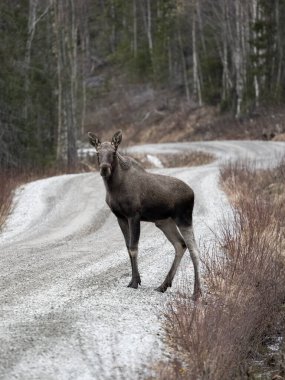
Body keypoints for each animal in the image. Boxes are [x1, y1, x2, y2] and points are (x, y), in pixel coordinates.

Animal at [87, 131, 201, 300]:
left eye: (113, 152)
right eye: (97, 153)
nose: (104, 169)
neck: (114, 187)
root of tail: (193, 193)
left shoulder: (134, 215)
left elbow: (134, 247)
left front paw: (135, 282)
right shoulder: (120, 217)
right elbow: (128, 247)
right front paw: (134, 280)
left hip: (184, 218)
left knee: (194, 249)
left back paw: (196, 292)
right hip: (165, 222)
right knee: (180, 244)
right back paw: (163, 285)